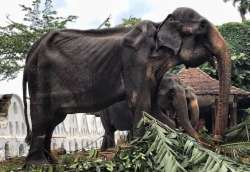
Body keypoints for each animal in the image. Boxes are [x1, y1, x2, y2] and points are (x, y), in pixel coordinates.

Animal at [22, 7, 231, 165]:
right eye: (202, 27)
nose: (215, 143)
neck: (160, 24)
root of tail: (33, 48)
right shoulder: (135, 60)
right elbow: (141, 103)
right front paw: (139, 153)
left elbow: (152, 108)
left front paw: (175, 142)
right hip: (40, 76)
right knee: (42, 116)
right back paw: (38, 165)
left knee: (53, 120)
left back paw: (52, 162)